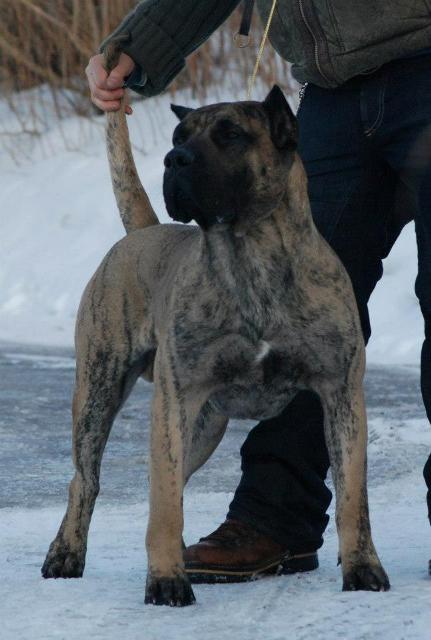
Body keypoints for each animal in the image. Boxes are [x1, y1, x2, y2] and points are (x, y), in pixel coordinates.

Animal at [41, 43, 392, 604]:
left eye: (230, 134)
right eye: (178, 138)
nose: (173, 160)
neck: (250, 255)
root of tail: (141, 232)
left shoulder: (341, 393)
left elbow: (353, 497)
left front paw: (363, 569)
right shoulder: (175, 397)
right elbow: (162, 503)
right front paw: (166, 581)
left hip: (203, 425)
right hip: (100, 389)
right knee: (87, 479)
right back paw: (67, 554)